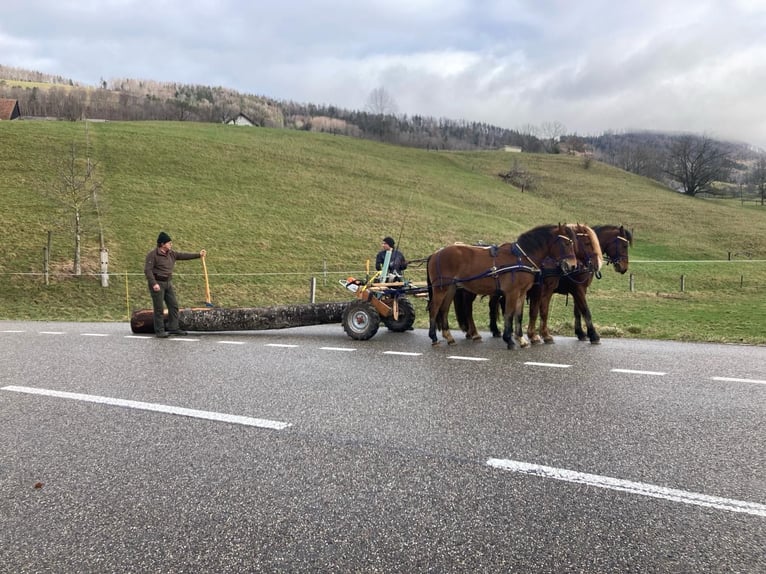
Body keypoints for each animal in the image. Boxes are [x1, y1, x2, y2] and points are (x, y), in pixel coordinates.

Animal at [426, 225, 584, 352]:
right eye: (566, 243)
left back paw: (449, 337)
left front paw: (521, 339)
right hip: (441, 289)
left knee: (444, 310)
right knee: (434, 309)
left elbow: (518, 315)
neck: (521, 258)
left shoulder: (521, 293)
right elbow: (508, 314)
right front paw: (509, 340)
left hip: (451, 289)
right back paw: (434, 338)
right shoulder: (512, 293)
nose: (573, 265)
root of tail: (435, 254)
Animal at [462, 224, 636, 342]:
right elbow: (579, 310)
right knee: (470, 307)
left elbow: (576, 311)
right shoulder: (556, 289)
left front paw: (580, 333)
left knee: (493, 305)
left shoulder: (576, 289)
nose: (623, 267)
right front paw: (592, 335)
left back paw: (493, 331)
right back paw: (475, 332)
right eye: (624, 245)